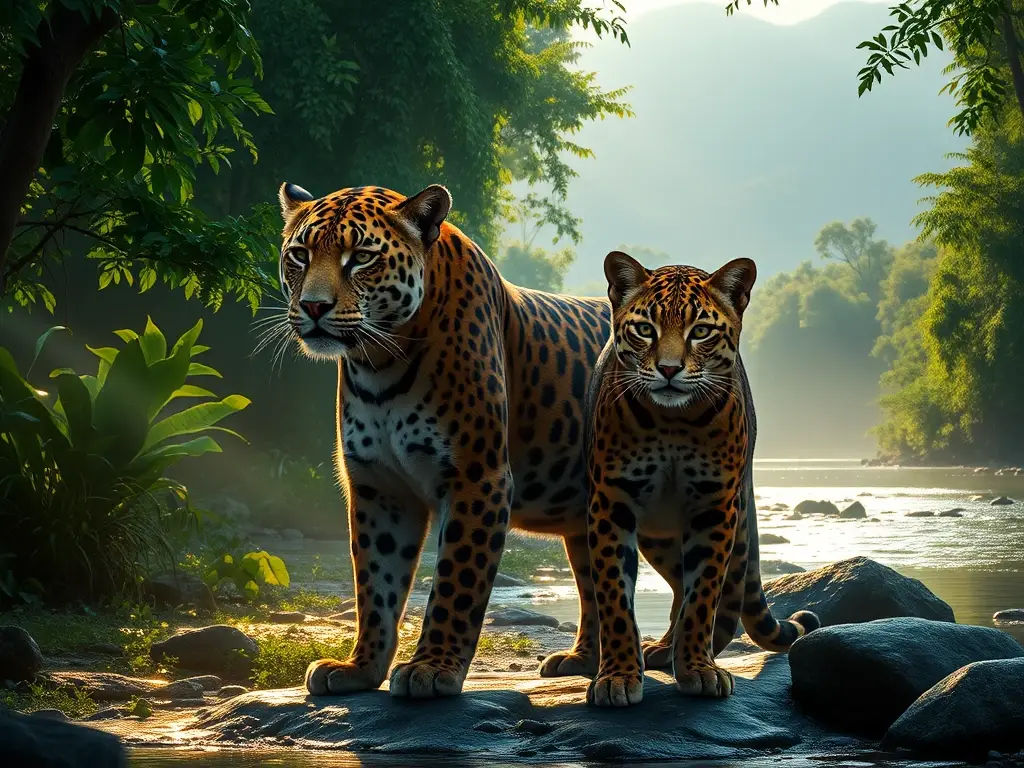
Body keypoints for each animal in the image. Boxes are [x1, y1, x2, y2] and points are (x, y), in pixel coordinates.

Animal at [583, 250, 820, 708]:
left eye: (701, 331)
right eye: (645, 329)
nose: (669, 370)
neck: (672, 420)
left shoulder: (714, 505)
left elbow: (703, 596)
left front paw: (697, 668)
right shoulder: (612, 501)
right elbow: (615, 596)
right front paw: (618, 676)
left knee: (712, 596)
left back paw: (675, 650)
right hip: (657, 533)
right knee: (677, 582)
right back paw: (659, 649)